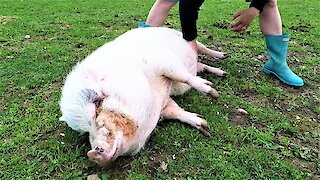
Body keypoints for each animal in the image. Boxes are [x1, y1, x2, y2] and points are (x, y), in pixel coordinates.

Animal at [58, 27, 226, 166]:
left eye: (98, 103)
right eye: (85, 131)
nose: (94, 153)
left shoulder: (164, 62)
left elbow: (184, 77)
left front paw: (213, 93)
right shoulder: (165, 103)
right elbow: (177, 112)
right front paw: (205, 127)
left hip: (184, 38)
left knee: (202, 49)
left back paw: (223, 58)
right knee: (201, 66)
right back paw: (221, 72)